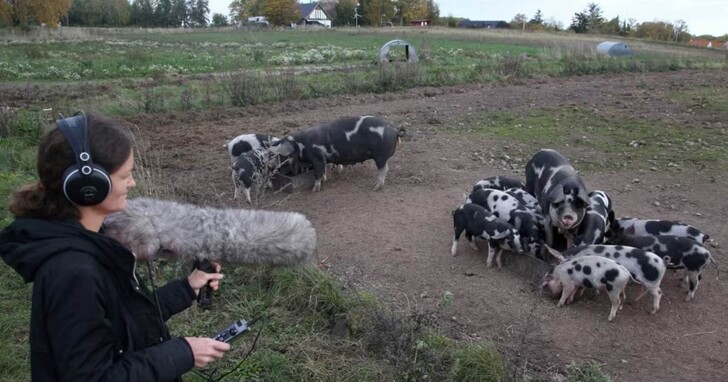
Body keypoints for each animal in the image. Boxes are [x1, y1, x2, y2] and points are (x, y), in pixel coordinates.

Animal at [272, 115, 404, 192]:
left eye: (285, 156)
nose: (291, 171)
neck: (302, 145)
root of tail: (394, 130)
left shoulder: (317, 158)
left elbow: (318, 173)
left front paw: (314, 190)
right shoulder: (324, 159)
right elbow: (324, 170)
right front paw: (325, 179)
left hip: (380, 156)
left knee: (384, 170)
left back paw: (375, 187)